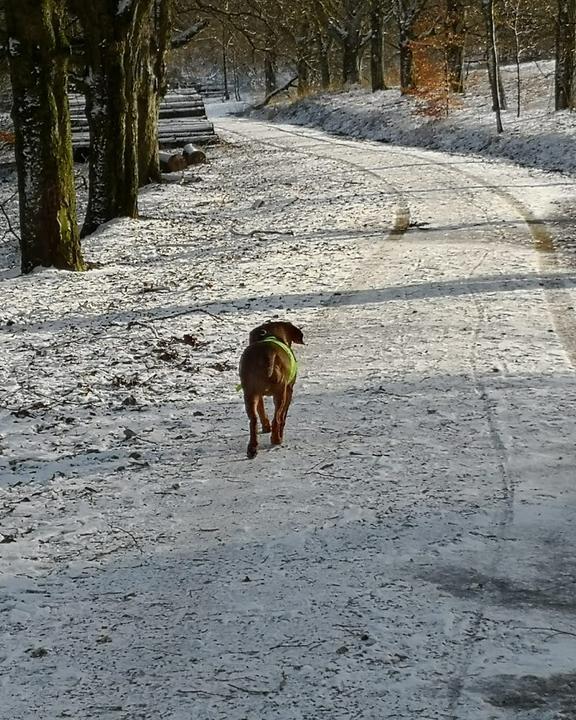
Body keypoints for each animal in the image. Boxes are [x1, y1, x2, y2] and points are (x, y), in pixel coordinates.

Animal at [238, 322, 304, 458]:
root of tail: (268, 353)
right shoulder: (289, 390)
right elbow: (283, 417)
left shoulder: (257, 395)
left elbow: (261, 411)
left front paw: (266, 427)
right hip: (280, 393)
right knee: (277, 418)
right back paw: (276, 439)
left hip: (250, 394)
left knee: (253, 420)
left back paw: (252, 448)